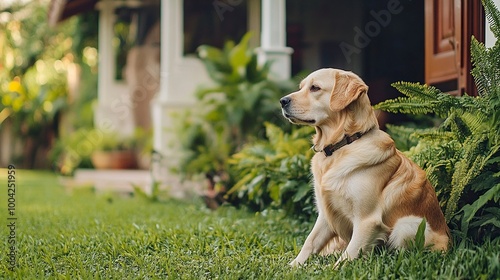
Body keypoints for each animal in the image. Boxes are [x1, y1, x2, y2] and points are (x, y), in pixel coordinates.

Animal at [280, 68, 452, 266]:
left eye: (315, 88)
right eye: (301, 87)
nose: (282, 101)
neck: (343, 144)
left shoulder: (367, 220)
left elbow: (348, 254)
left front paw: (333, 269)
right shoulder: (325, 215)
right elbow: (310, 242)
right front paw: (294, 266)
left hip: (407, 225)